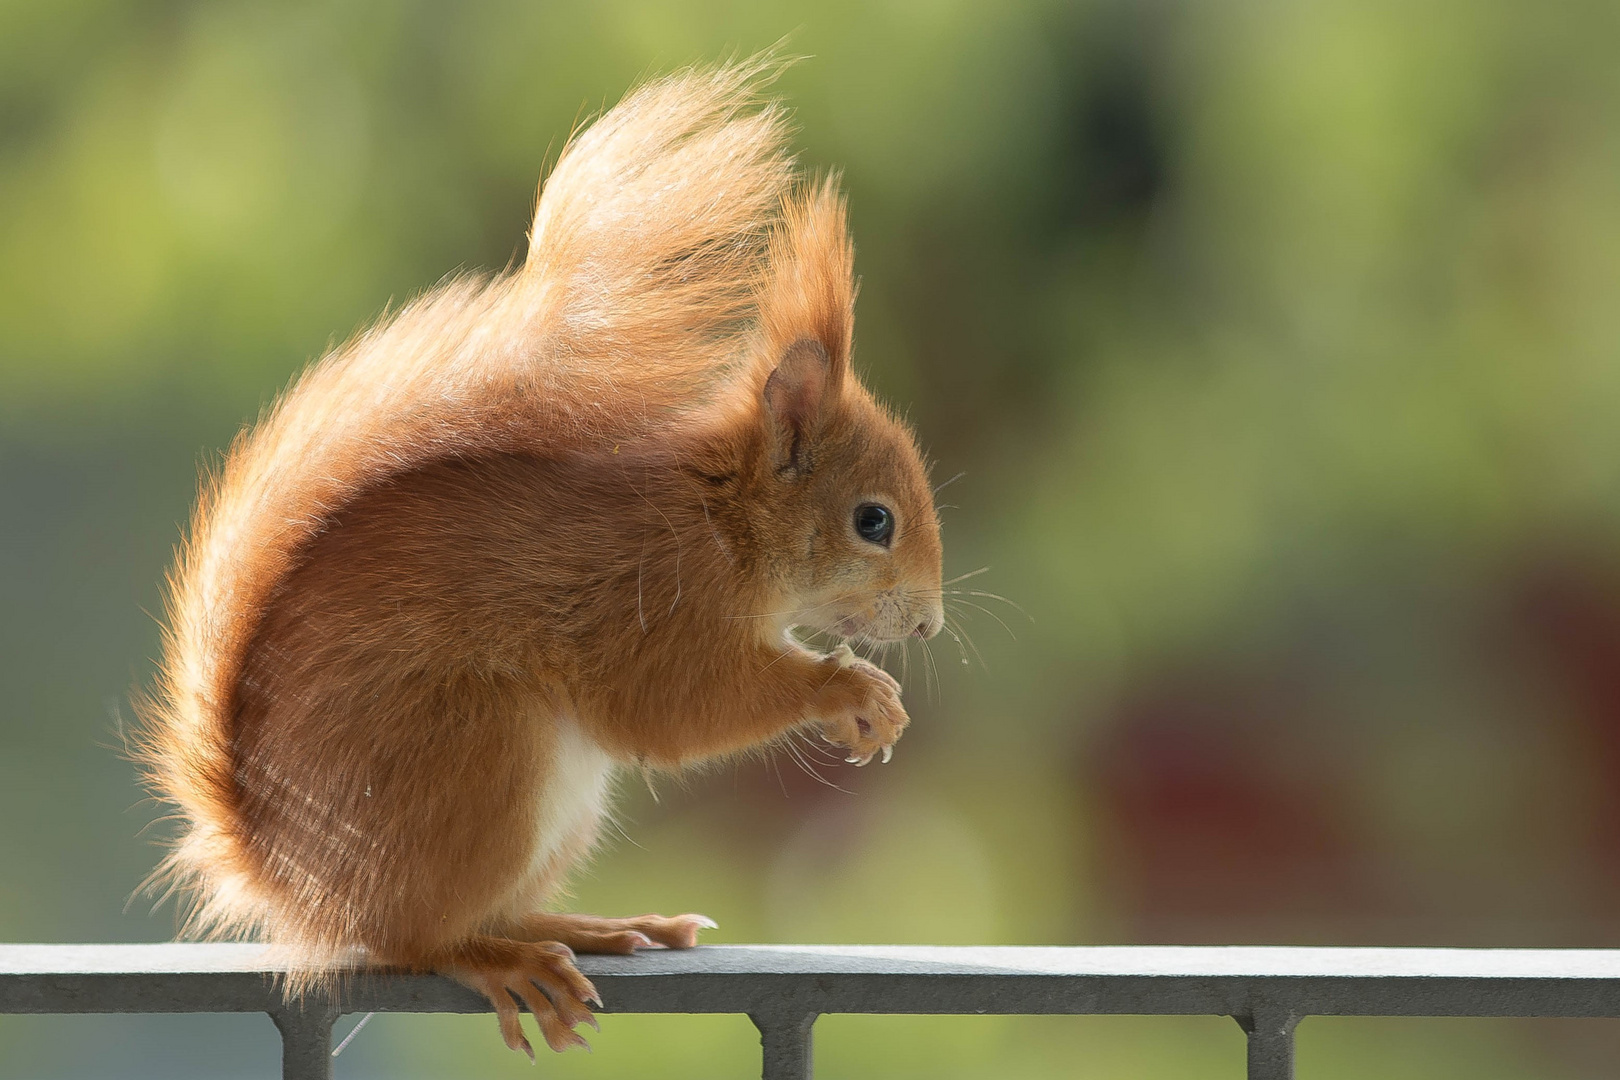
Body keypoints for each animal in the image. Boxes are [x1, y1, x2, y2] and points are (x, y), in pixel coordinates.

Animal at [139, 59, 946, 1055]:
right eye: (873, 522)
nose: (929, 623)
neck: (724, 520)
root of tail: (290, 877)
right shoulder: (651, 598)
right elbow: (679, 706)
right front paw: (848, 692)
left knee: (484, 911)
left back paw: (593, 927)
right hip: (476, 751)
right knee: (415, 938)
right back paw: (503, 961)